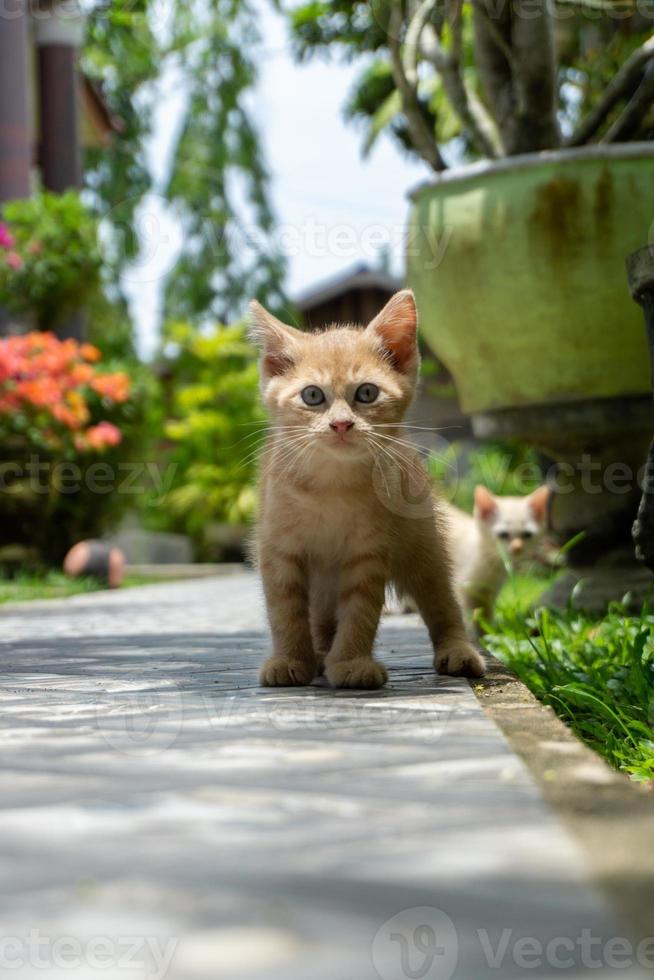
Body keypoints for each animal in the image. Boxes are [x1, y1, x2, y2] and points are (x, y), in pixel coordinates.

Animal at [251, 290, 486, 688]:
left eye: (366, 393)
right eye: (312, 396)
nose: (341, 424)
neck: (332, 486)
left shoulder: (369, 551)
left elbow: (360, 610)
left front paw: (351, 662)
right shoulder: (279, 548)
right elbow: (285, 610)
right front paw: (290, 659)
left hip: (423, 542)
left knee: (441, 598)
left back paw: (458, 649)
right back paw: (319, 653)